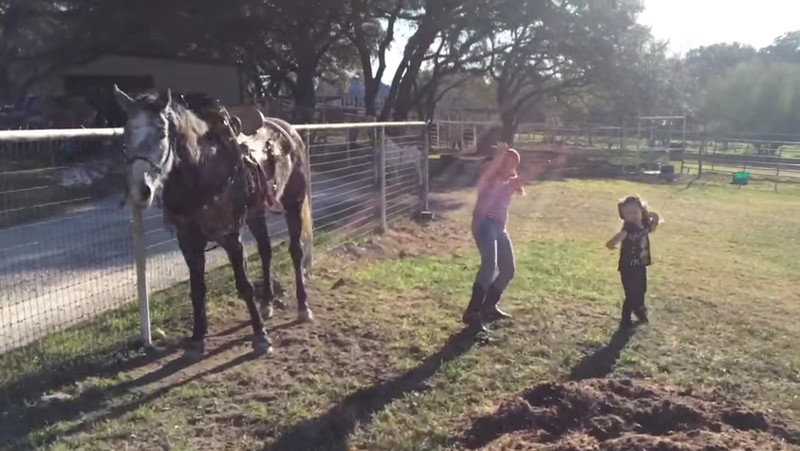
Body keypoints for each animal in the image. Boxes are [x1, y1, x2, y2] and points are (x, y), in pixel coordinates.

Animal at [112, 85, 312, 356]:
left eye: (162, 132)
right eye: (126, 134)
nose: (138, 191)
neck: (202, 171)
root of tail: (288, 131)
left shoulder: (230, 235)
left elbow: (244, 285)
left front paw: (260, 336)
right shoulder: (188, 241)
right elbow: (197, 289)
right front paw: (197, 338)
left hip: (294, 203)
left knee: (295, 252)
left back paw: (303, 307)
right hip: (256, 214)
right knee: (266, 251)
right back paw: (267, 304)